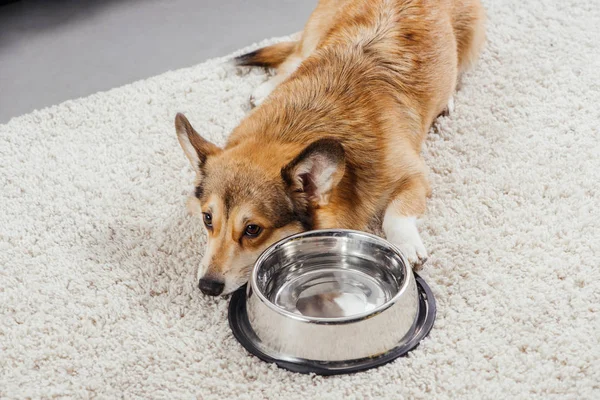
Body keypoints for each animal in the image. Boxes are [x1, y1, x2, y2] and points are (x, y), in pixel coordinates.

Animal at [175, 0, 482, 296]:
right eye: (207, 219)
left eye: (252, 229)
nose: (207, 287)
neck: (293, 128)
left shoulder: (415, 176)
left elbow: (395, 215)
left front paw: (406, 245)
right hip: (315, 35)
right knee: (293, 58)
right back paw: (265, 88)